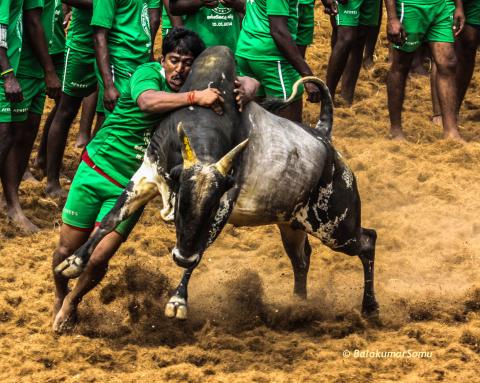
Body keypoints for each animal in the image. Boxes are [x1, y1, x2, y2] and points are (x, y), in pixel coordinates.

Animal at [55, 45, 378, 320]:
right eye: (182, 204)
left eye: (208, 207)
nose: (181, 258)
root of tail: (324, 136)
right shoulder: (147, 174)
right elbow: (111, 218)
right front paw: (73, 262)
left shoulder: (224, 202)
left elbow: (201, 247)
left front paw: (178, 300)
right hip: (292, 224)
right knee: (302, 259)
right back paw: (298, 305)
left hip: (335, 226)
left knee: (368, 241)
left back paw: (370, 307)